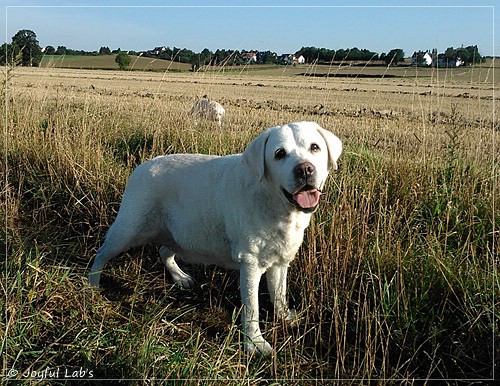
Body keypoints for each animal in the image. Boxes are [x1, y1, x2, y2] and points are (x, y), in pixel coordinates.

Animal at [88, 122, 342, 354]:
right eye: (279, 154)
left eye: (315, 147)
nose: (305, 169)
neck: (275, 203)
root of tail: (141, 167)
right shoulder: (250, 263)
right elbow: (252, 308)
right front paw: (255, 344)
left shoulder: (280, 262)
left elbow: (279, 294)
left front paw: (284, 317)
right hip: (128, 229)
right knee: (101, 254)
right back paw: (92, 286)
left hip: (180, 233)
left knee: (164, 250)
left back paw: (180, 277)